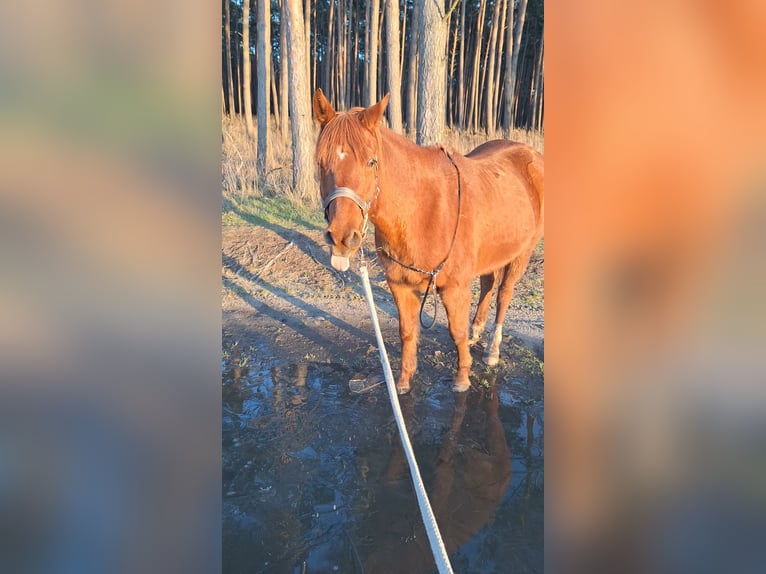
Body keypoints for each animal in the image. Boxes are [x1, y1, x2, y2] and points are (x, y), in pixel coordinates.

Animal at [314, 89, 544, 396]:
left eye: (371, 161)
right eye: (320, 162)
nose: (341, 236)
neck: (423, 211)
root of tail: (532, 155)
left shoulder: (455, 288)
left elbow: (455, 331)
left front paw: (462, 378)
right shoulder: (399, 284)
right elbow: (407, 331)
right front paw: (403, 381)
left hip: (523, 253)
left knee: (504, 294)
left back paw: (492, 350)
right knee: (488, 283)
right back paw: (476, 331)